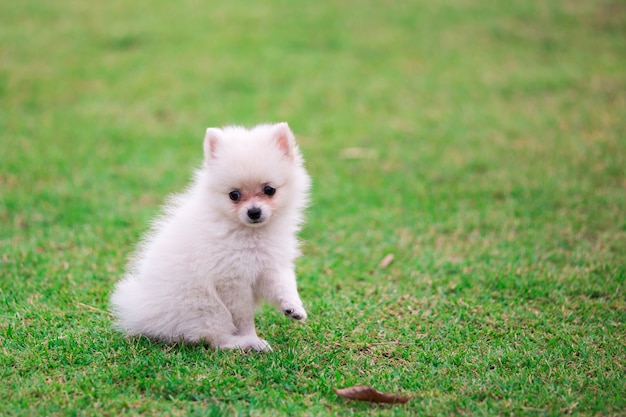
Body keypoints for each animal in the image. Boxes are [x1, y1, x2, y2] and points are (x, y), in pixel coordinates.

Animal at [111, 122, 310, 350]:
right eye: (234, 195)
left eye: (269, 190)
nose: (254, 212)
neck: (250, 232)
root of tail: (140, 315)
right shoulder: (230, 280)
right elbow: (243, 316)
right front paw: (251, 336)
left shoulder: (268, 264)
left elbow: (284, 284)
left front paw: (293, 307)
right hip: (205, 306)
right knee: (215, 338)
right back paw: (246, 344)